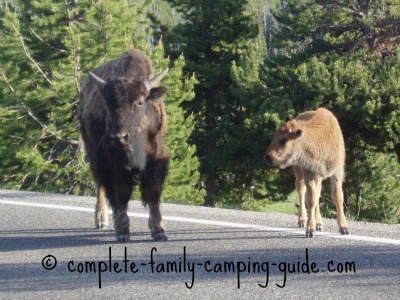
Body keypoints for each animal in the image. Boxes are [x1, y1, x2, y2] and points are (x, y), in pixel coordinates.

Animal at [79, 48, 170, 241]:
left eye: (140, 101)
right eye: (108, 103)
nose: (119, 137)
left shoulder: (156, 158)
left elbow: (152, 193)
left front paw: (159, 230)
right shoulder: (113, 163)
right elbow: (120, 194)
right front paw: (122, 232)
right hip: (92, 151)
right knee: (100, 185)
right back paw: (101, 220)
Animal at [264, 107, 348, 237]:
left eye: (283, 140)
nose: (267, 157)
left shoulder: (337, 172)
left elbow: (337, 197)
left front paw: (344, 228)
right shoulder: (309, 174)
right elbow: (311, 200)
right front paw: (310, 229)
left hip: (318, 177)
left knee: (317, 194)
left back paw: (319, 223)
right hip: (299, 172)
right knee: (301, 190)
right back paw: (302, 220)